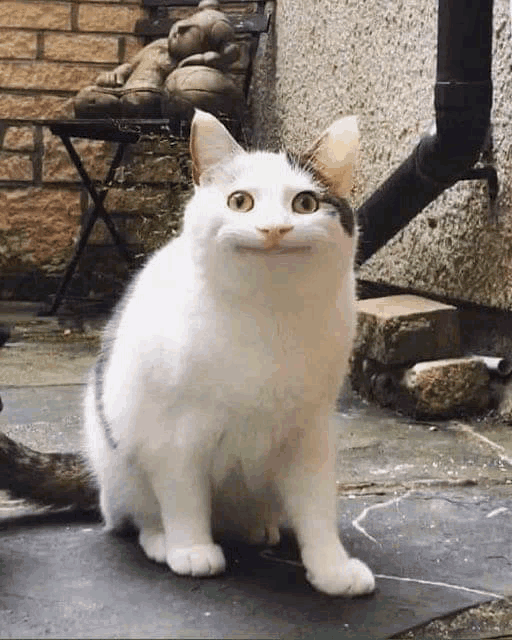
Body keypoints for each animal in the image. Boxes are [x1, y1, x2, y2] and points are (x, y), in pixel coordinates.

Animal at [82, 109, 374, 596]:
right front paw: (191, 548)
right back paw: (162, 540)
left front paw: (331, 566)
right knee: (134, 513)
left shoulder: (311, 428)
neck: (268, 312)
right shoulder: (174, 433)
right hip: (117, 453)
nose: (274, 229)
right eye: (240, 202)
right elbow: (183, 495)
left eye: (305, 204)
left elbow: (316, 503)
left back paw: (259, 527)